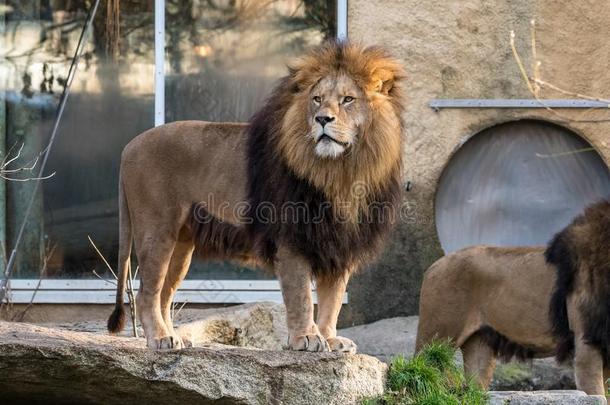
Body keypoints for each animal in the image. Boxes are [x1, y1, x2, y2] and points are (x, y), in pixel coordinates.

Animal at [107, 39, 406, 352]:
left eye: (348, 99)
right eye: (316, 99)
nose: (322, 119)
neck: (341, 171)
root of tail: (129, 146)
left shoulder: (338, 241)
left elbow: (333, 299)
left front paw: (330, 338)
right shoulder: (292, 238)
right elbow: (301, 295)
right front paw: (307, 338)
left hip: (181, 244)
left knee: (164, 293)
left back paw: (174, 337)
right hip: (157, 230)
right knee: (147, 293)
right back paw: (160, 339)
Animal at [416, 199, 608, 394]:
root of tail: (434, 266)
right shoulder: (586, 343)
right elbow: (596, 393)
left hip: (479, 345)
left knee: (475, 389)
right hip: (436, 336)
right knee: (421, 370)